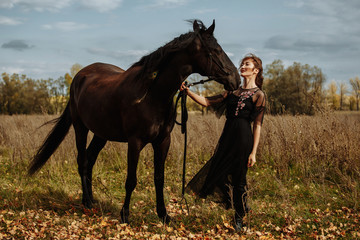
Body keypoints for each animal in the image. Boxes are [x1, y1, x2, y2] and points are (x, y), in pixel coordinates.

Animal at [29, 20, 240, 223]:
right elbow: (131, 180)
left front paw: (164, 215)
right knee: (82, 160)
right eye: (215, 50)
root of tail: (79, 77)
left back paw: (91, 199)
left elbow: (159, 178)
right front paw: (125, 215)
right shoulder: (135, 142)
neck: (152, 95)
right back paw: (87, 202)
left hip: (101, 134)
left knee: (90, 159)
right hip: (80, 127)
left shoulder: (163, 141)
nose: (236, 79)